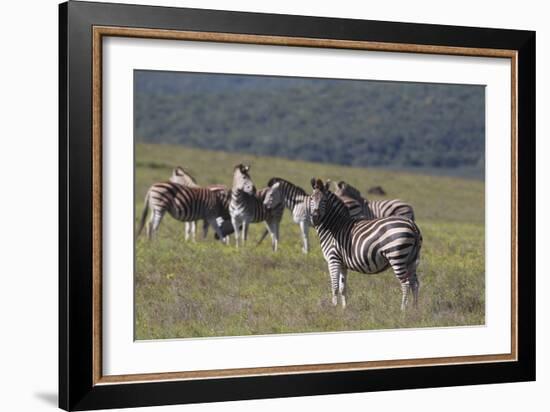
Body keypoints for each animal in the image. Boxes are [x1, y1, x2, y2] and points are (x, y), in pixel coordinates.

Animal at [306, 177, 422, 308]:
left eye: (325, 200)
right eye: (311, 198)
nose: (315, 218)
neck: (334, 226)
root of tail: (412, 225)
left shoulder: (333, 259)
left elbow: (334, 286)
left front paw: (334, 308)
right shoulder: (342, 263)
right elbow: (342, 288)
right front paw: (344, 308)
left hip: (397, 256)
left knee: (405, 284)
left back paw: (403, 309)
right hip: (411, 259)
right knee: (414, 283)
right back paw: (415, 309)